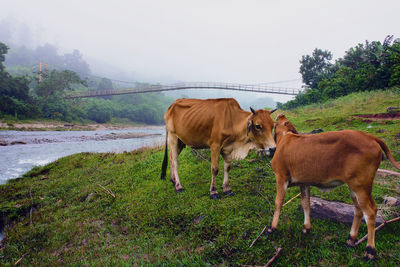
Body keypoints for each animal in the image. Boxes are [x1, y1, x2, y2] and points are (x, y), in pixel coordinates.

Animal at [266, 115, 400, 262]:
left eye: (276, 123)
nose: (280, 115)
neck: (285, 138)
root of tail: (370, 136)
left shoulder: (281, 176)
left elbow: (278, 202)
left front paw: (272, 227)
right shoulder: (304, 182)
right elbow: (305, 203)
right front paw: (306, 227)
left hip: (360, 186)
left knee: (370, 212)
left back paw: (370, 250)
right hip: (356, 187)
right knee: (359, 209)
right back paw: (351, 238)